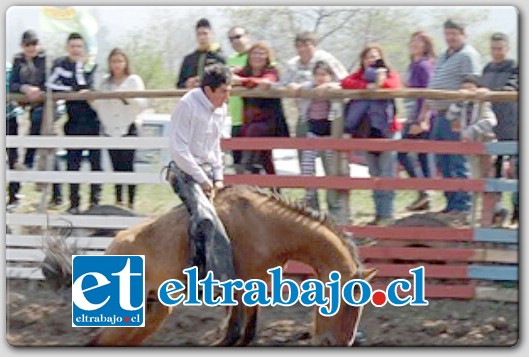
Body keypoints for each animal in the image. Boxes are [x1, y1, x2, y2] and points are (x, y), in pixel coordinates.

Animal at [86, 186, 374, 344]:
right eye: (343, 301)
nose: (340, 342)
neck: (269, 228)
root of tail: (112, 245)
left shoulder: (255, 288)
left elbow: (245, 334)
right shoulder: (236, 290)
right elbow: (233, 334)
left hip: (151, 312)